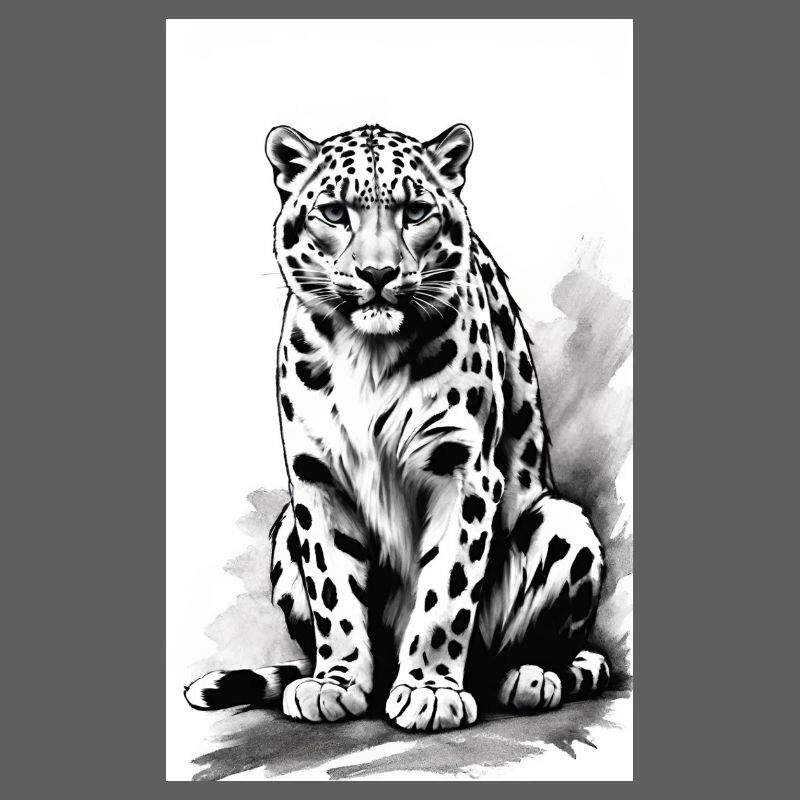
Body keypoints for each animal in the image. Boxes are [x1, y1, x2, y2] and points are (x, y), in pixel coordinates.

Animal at [184, 123, 610, 731]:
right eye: (334, 212)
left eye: (415, 211)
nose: (378, 273)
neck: (369, 356)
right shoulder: (316, 478)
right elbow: (333, 587)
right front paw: (336, 683)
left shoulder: (464, 470)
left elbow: (446, 591)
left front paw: (430, 690)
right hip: (285, 526)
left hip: (562, 524)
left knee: (538, 646)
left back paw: (529, 676)